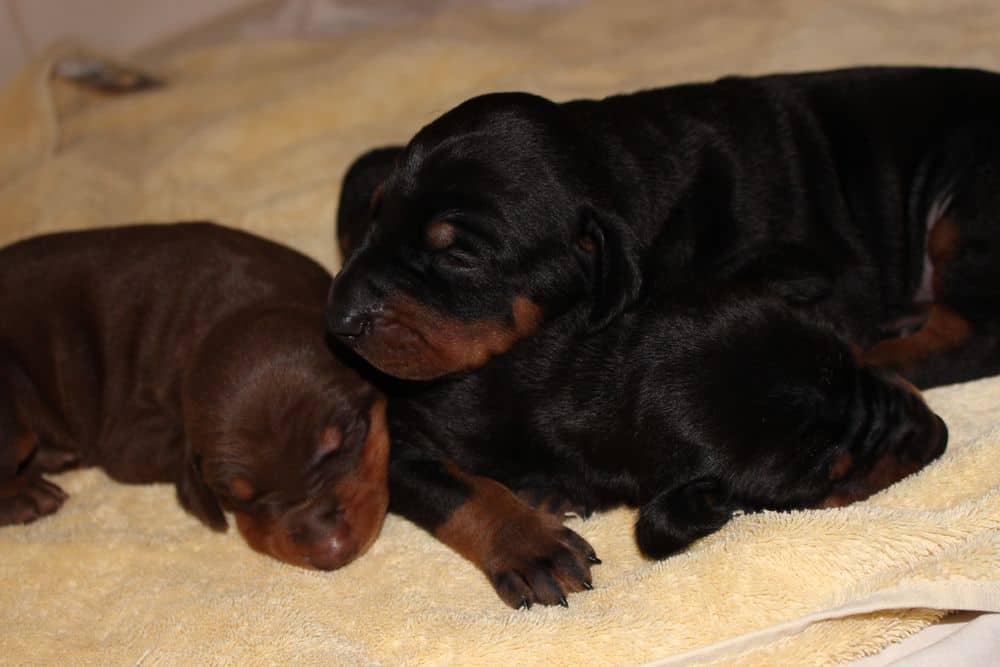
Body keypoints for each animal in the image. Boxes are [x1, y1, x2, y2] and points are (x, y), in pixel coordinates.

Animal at [0, 223, 388, 568]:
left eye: (343, 443)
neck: (236, 308)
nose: (330, 550)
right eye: (235, 496)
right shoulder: (126, 436)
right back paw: (26, 494)